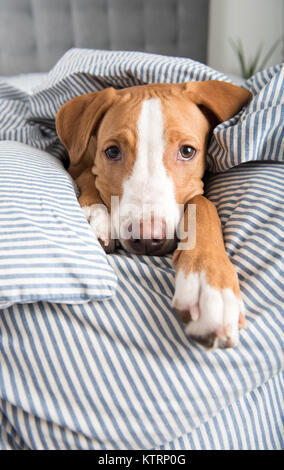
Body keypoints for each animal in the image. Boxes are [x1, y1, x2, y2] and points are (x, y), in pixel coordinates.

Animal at [56, 81, 252, 348]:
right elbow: (90, 174)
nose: (147, 238)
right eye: (112, 152)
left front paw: (210, 281)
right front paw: (95, 215)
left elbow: (202, 203)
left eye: (187, 151)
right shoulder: (78, 162)